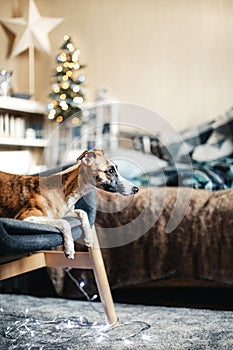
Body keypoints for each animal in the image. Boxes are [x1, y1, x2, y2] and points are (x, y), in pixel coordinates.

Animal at [0, 149, 138, 258]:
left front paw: (88, 238)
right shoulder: (25, 217)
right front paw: (69, 248)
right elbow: (65, 223)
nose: (136, 189)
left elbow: (83, 212)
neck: (64, 190)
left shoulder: (68, 210)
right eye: (110, 171)